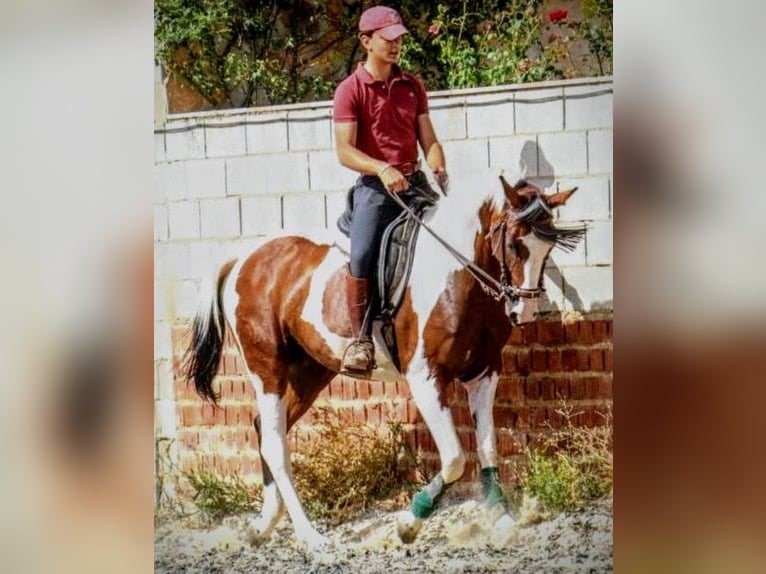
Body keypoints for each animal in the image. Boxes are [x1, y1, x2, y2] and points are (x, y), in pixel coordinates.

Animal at [184, 173, 584, 549]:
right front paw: (410, 522)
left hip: (310, 372)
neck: (457, 274)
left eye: (548, 247)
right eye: (515, 244)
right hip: (267, 368)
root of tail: (244, 258)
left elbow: (488, 447)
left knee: (263, 429)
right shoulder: (425, 377)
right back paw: (310, 535)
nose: (523, 311)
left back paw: (263, 524)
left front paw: (500, 516)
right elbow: (455, 458)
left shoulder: (484, 373)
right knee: (273, 443)